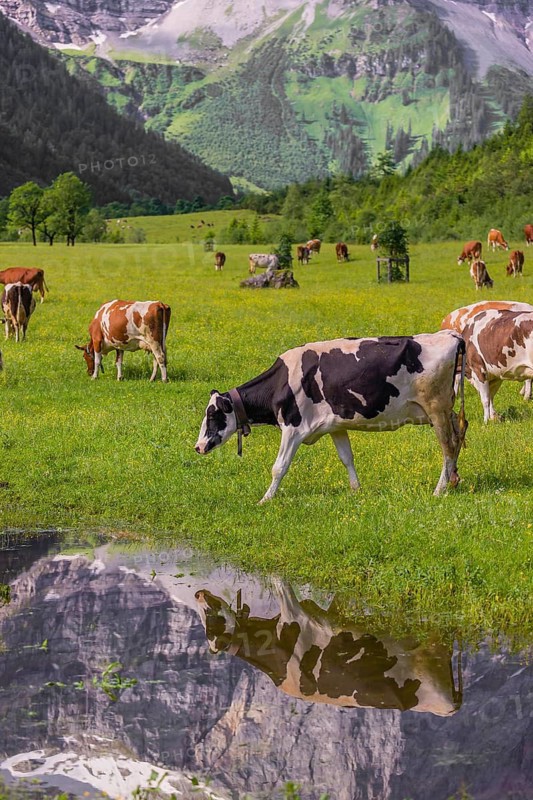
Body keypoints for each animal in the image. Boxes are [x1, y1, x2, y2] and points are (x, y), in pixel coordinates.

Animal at [195, 332, 467, 503]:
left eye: (213, 415)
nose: (198, 446)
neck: (283, 381)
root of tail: (451, 336)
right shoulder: (335, 425)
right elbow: (347, 458)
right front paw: (356, 490)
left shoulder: (293, 428)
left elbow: (279, 467)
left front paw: (265, 499)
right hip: (447, 411)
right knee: (459, 432)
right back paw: (453, 480)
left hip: (436, 409)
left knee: (449, 446)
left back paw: (439, 489)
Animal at [196, 581, 462, 716]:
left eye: (211, 619)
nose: (198, 592)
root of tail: (450, 708)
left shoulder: (297, 613)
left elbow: (278, 580)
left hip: (434, 650)